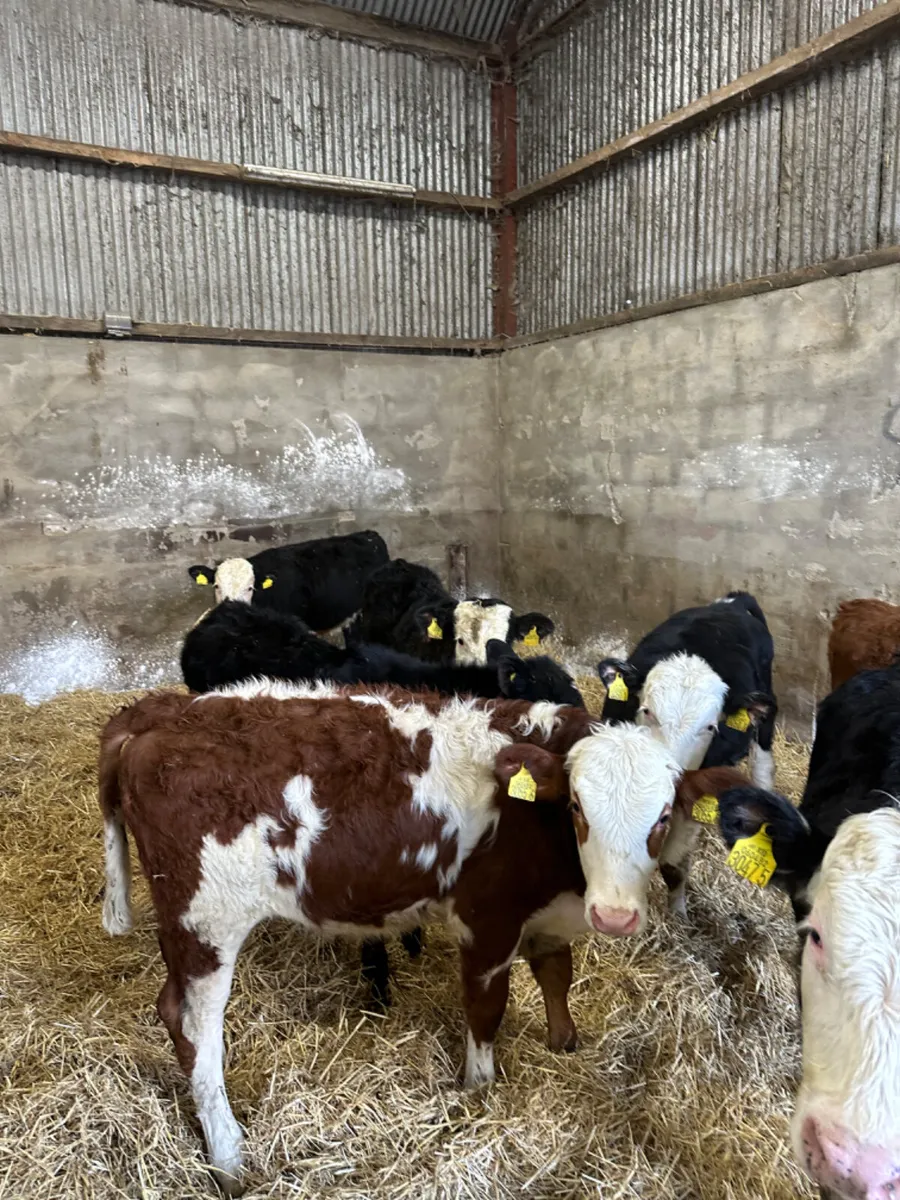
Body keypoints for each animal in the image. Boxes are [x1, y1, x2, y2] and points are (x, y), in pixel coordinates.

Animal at [99, 681, 734, 1194]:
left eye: (663, 817)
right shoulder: (488, 920)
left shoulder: (544, 919)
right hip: (206, 922)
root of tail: (158, 711)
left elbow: (557, 976)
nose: (616, 915)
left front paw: (564, 1046)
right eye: (578, 807)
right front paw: (478, 1092)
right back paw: (229, 1159)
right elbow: (485, 1010)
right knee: (193, 1029)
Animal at [596, 592, 777, 918]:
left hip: (765, 711)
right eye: (647, 711)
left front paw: (677, 913)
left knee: (762, 762)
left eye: (710, 727)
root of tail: (733, 602)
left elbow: (673, 863)